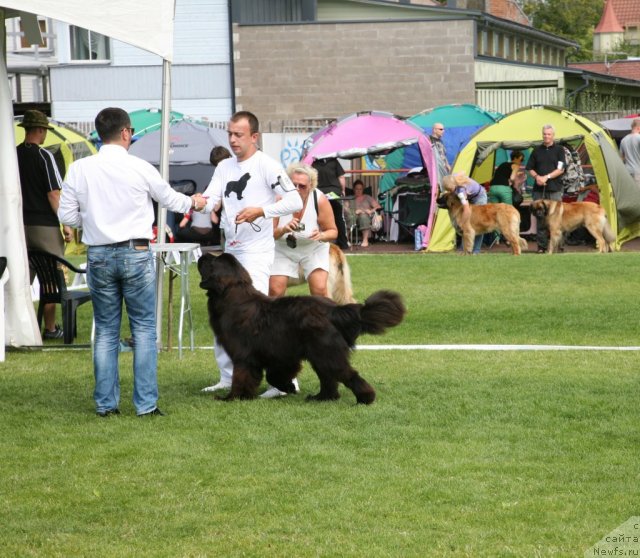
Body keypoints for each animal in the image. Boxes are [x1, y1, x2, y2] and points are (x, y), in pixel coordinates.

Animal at [198, 255, 404, 406]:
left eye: (211, 262)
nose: (204, 255)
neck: (231, 294)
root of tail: (334, 310)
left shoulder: (244, 356)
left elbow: (241, 377)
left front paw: (232, 398)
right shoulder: (280, 353)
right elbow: (274, 374)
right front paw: (288, 387)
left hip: (327, 352)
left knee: (347, 374)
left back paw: (365, 398)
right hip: (320, 354)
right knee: (328, 378)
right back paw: (322, 398)